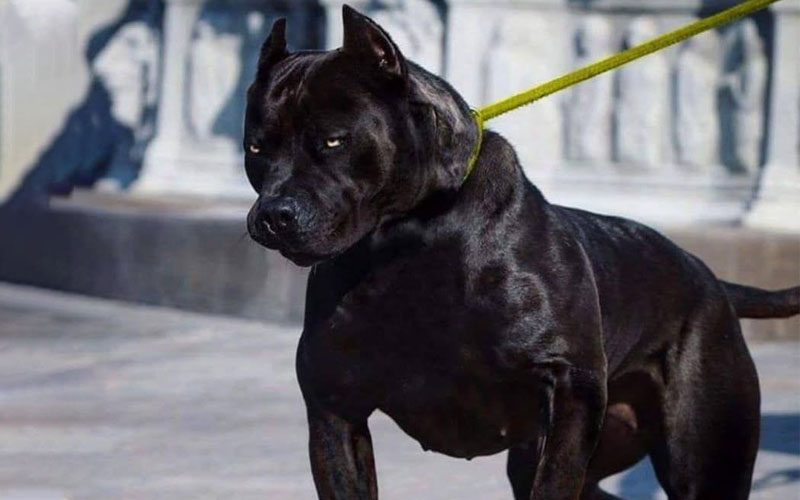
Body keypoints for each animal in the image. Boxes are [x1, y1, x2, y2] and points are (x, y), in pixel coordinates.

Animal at [245, 5, 800, 498]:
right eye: (255, 148)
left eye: (334, 141)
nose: (273, 214)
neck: (408, 244)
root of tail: (710, 279)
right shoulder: (334, 408)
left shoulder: (569, 390)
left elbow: (555, 483)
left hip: (703, 461)